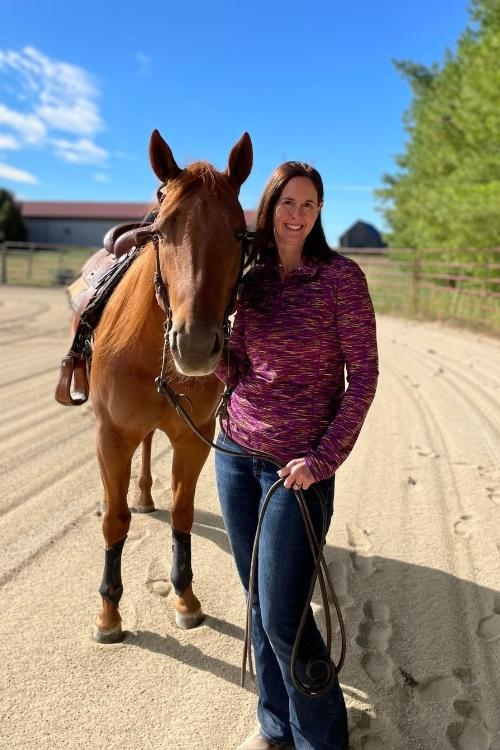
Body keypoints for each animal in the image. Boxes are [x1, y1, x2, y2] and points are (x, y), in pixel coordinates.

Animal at [89, 129, 253, 643]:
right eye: (160, 233)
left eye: (239, 233)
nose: (196, 346)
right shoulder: (111, 436)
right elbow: (114, 521)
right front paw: (109, 612)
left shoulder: (193, 438)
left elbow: (182, 514)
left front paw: (185, 596)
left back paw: (144, 495)